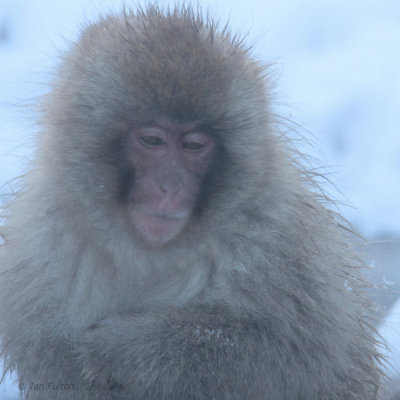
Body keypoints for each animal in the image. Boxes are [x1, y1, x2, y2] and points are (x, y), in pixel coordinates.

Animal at [0, 3, 382, 400]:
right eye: (152, 140)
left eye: (194, 145)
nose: (170, 186)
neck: (148, 255)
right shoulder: (41, 252)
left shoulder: (280, 240)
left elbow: (289, 355)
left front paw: (121, 349)